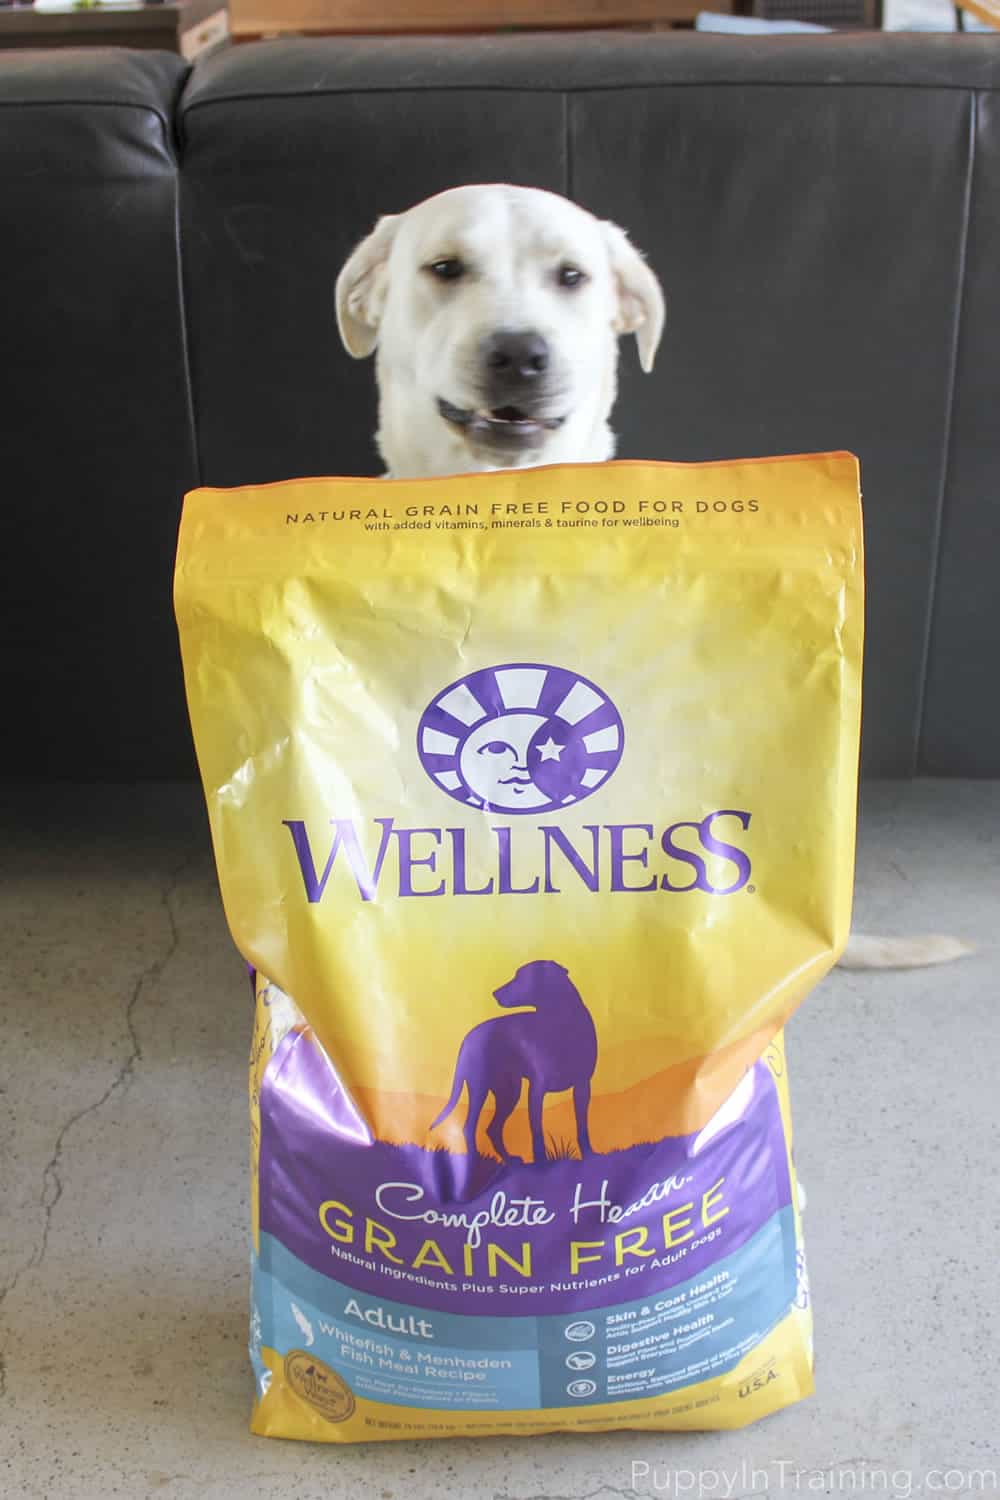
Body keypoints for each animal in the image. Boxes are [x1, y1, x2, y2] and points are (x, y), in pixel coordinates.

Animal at [430, 960, 597, 1165]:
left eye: (519, 977)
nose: (494, 993)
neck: (560, 1022)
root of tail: (468, 1038)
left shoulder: (582, 1086)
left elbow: (582, 1126)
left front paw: (589, 1155)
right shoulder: (537, 1088)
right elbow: (537, 1130)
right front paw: (541, 1162)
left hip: (508, 1093)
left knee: (492, 1128)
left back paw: (509, 1159)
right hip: (481, 1088)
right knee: (469, 1127)